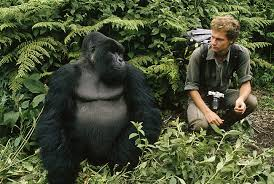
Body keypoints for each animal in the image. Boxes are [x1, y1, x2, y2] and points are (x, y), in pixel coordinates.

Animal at [35, 32, 161, 184]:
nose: (121, 60)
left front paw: (121, 163)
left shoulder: (132, 73)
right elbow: (53, 118)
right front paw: (60, 172)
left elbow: (145, 113)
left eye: (120, 53)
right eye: (112, 52)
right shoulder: (63, 75)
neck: (93, 69)